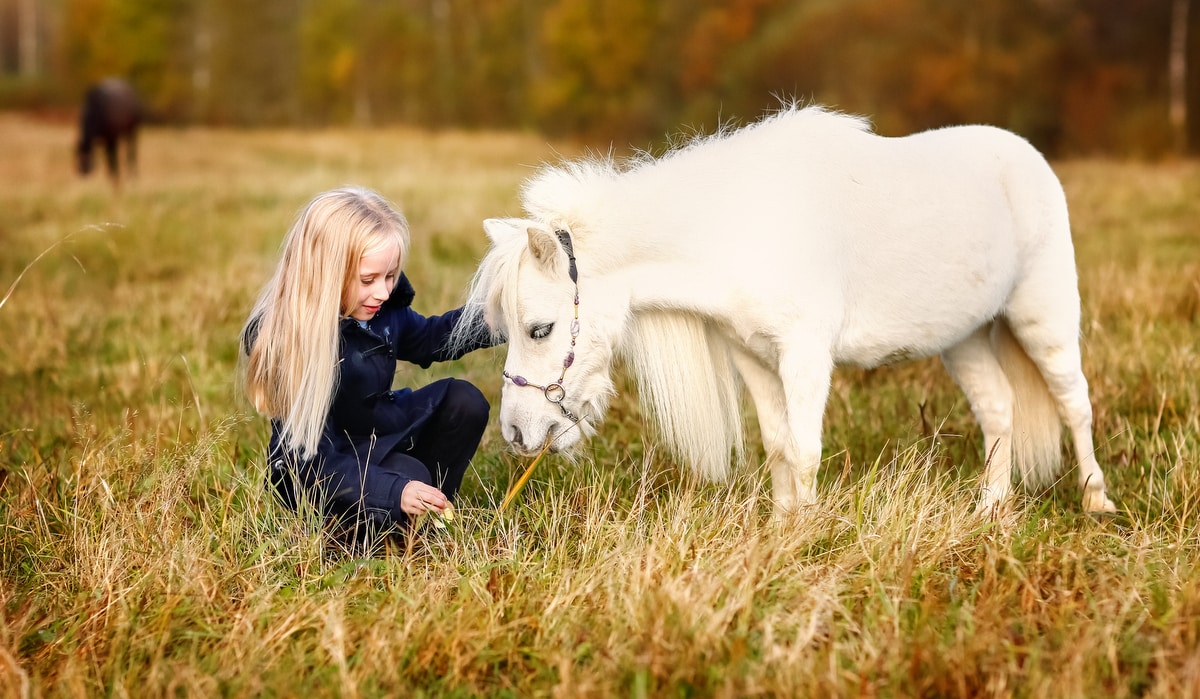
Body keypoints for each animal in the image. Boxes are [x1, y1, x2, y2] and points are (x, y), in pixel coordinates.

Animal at [456, 106, 1113, 518]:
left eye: (541, 328)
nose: (516, 433)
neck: (744, 227)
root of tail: (1024, 155)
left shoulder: (805, 356)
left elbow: (804, 449)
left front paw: (811, 536)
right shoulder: (752, 356)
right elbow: (778, 446)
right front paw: (784, 529)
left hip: (1043, 317)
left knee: (1074, 403)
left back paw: (1096, 501)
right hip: (966, 337)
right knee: (999, 409)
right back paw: (991, 509)